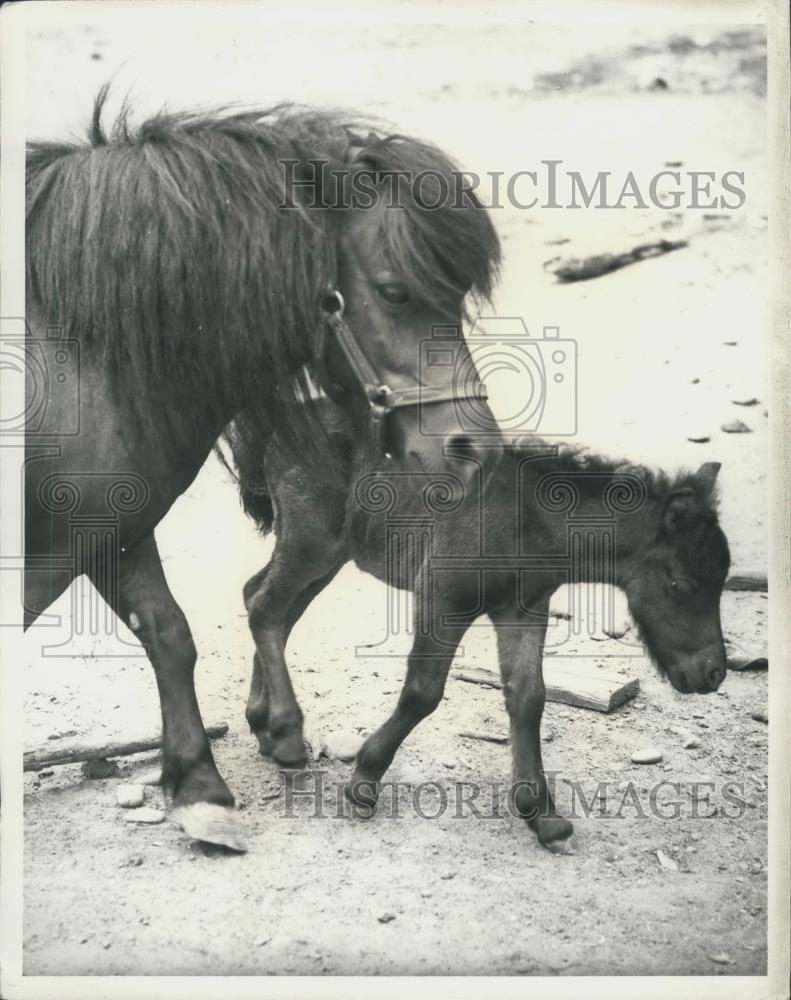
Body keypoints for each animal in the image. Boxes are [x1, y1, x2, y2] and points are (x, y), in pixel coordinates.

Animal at [23, 90, 503, 850]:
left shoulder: (108, 524)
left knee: (264, 604)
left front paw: (199, 789)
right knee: (265, 604)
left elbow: (169, 631)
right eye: (395, 291)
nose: (471, 449)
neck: (83, 351)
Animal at [234, 400, 730, 851]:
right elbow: (423, 693)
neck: (528, 521)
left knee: (266, 602)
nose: (712, 673)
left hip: (333, 551)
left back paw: (265, 727)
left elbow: (529, 698)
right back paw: (286, 736)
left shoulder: (523, 609)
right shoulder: (440, 596)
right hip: (312, 538)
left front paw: (542, 814)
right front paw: (364, 780)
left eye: (722, 578)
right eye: (681, 583)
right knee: (265, 609)